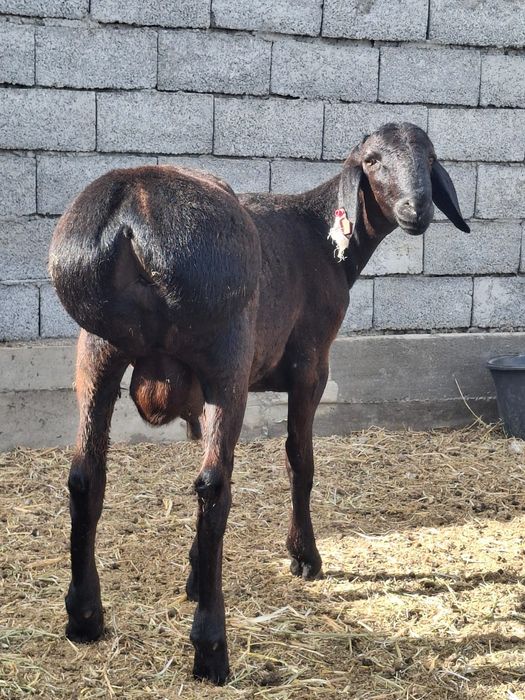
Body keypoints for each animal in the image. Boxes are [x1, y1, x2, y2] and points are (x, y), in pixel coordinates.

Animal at [48, 122, 469, 684]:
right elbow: (299, 460)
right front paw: (304, 557)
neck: (321, 237)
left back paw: (85, 617)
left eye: (430, 157)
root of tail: (128, 217)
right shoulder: (311, 363)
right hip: (225, 351)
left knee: (86, 475)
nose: (416, 209)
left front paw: (193, 574)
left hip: (97, 349)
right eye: (374, 160)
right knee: (213, 488)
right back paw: (211, 648)